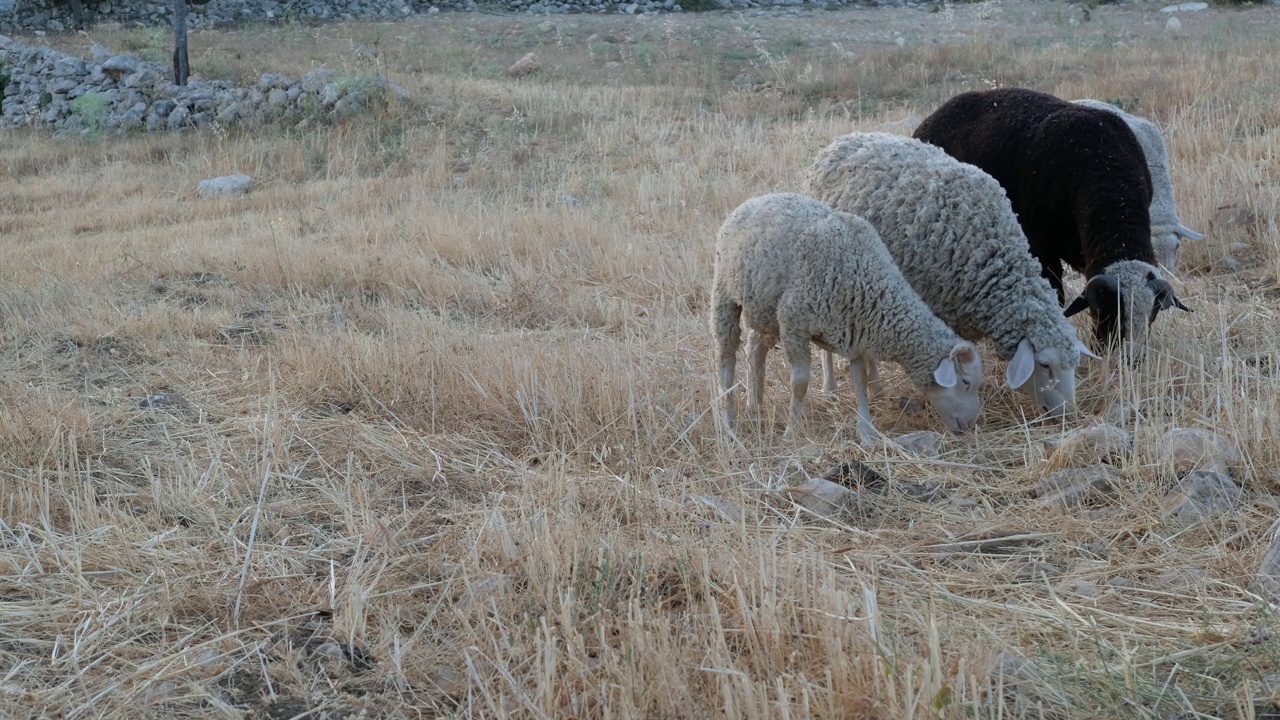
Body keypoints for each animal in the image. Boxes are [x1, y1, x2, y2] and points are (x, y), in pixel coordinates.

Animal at [706, 192, 983, 438]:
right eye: (966, 382)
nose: (970, 426)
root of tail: (755, 200)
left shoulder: (854, 333)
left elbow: (860, 381)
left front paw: (867, 430)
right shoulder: (794, 324)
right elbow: (800, 383)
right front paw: (793, 431)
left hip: (764, 309)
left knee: (755, 348)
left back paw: (755, 407)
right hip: (724, 294)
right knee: (726, 359)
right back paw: (728, 420)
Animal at [911, 88, 1187, 351]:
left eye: (1152, 313)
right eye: (1106, 310)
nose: (1130, 359)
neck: (1106, 168)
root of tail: (928, 121)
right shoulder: (1040, 245)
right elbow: (1055, 295)